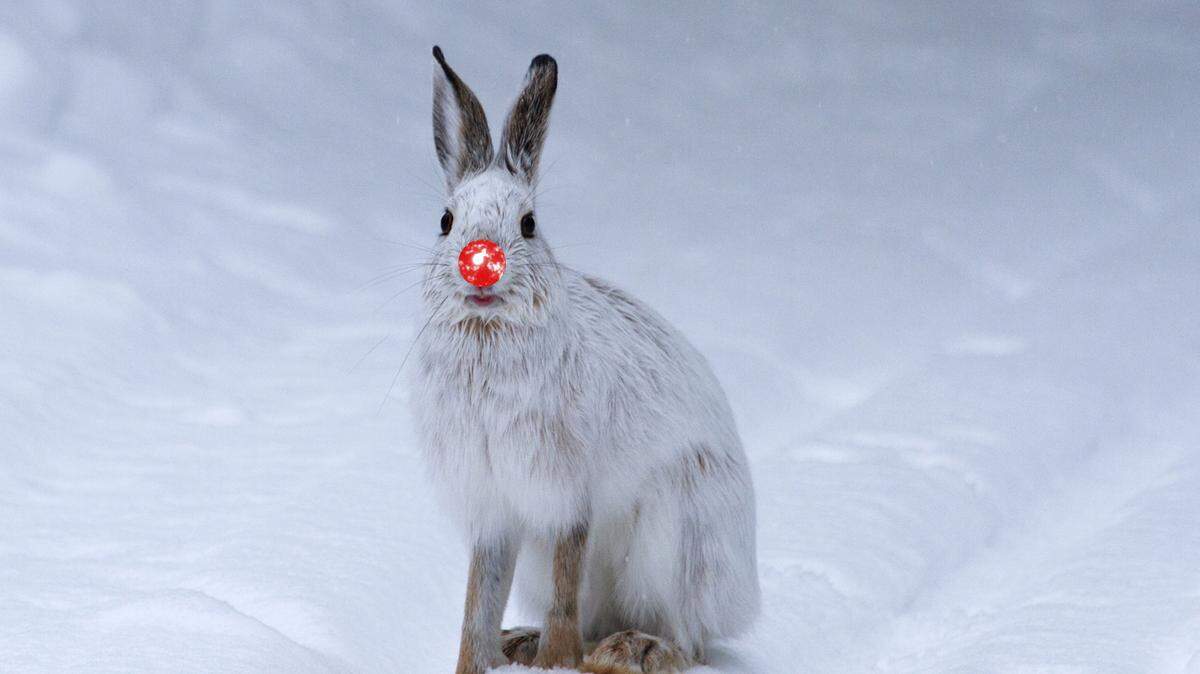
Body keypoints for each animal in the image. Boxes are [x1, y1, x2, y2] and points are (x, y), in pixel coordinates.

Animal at [411, 46, 760, 674]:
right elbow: (480, 596)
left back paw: (630, 650)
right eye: (446, 221)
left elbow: (565, 579)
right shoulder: (494, 507)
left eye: (529, 224)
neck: (488, 334)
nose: (482, 264)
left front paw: (559, 662)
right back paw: (525, 643)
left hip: (676, 538)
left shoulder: (567, 495)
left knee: (688, 638)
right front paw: (477, 663)